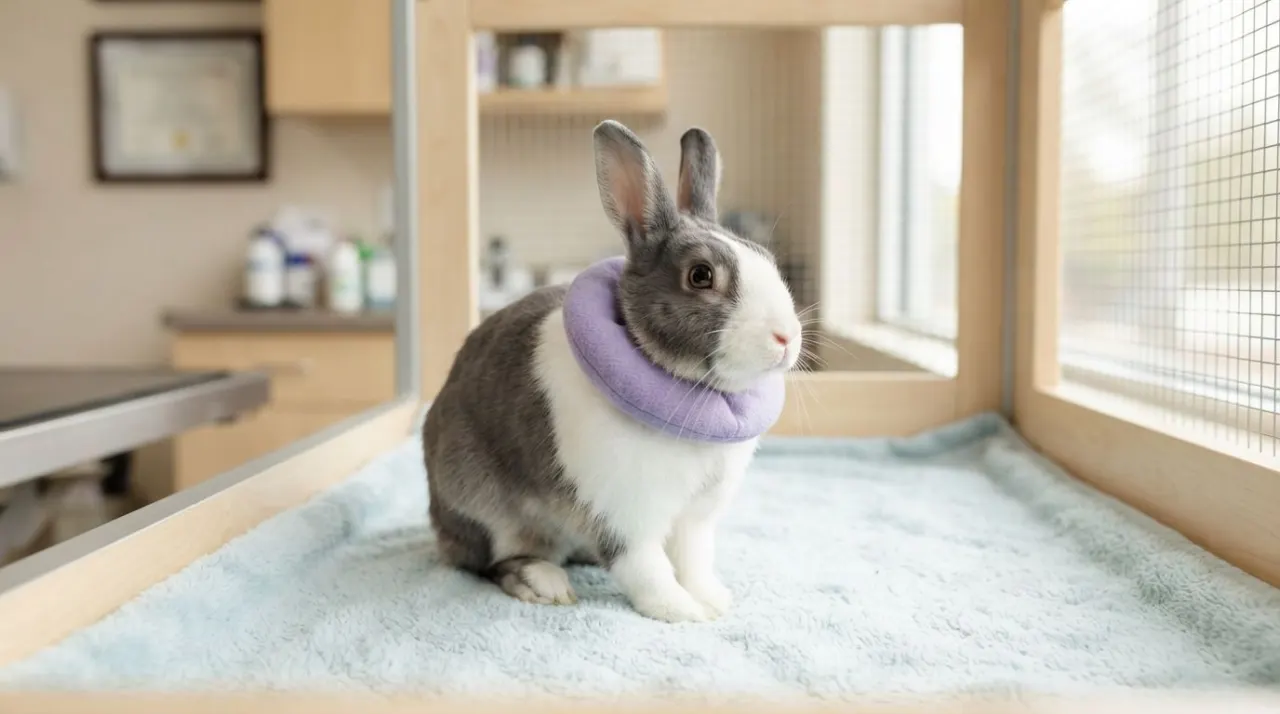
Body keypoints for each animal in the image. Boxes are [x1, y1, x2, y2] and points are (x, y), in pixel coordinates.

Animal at [422, 120, 802, 623]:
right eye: (701, 275)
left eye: (766, 258)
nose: (787, 337)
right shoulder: (625, 515)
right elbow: (647, 569)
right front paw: (682, 612)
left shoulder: (695, 519)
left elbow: (694, 560)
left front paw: (714, 600)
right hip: (485, 508)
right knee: (490, 562)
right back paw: (543, 582)